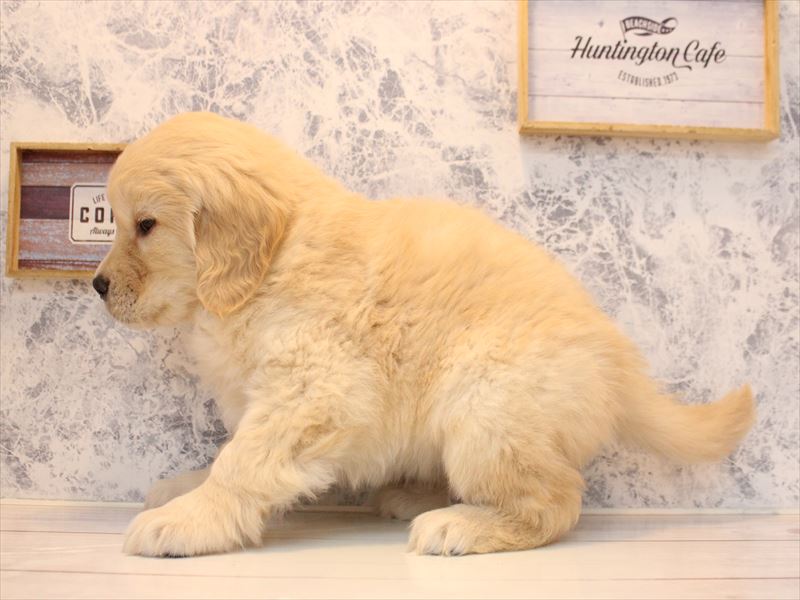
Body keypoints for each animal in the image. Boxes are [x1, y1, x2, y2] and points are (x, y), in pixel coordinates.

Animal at [94, 112, 754, 557]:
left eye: (145, 226)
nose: (97, 285)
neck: (272, 265)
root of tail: (617, 361)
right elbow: (229, 455)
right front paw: (184, 488)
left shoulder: (310, 394)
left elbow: (243, 463)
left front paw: (187, 520)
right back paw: (418, 497)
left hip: (486, 410)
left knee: (557, 500)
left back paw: (459, 524)